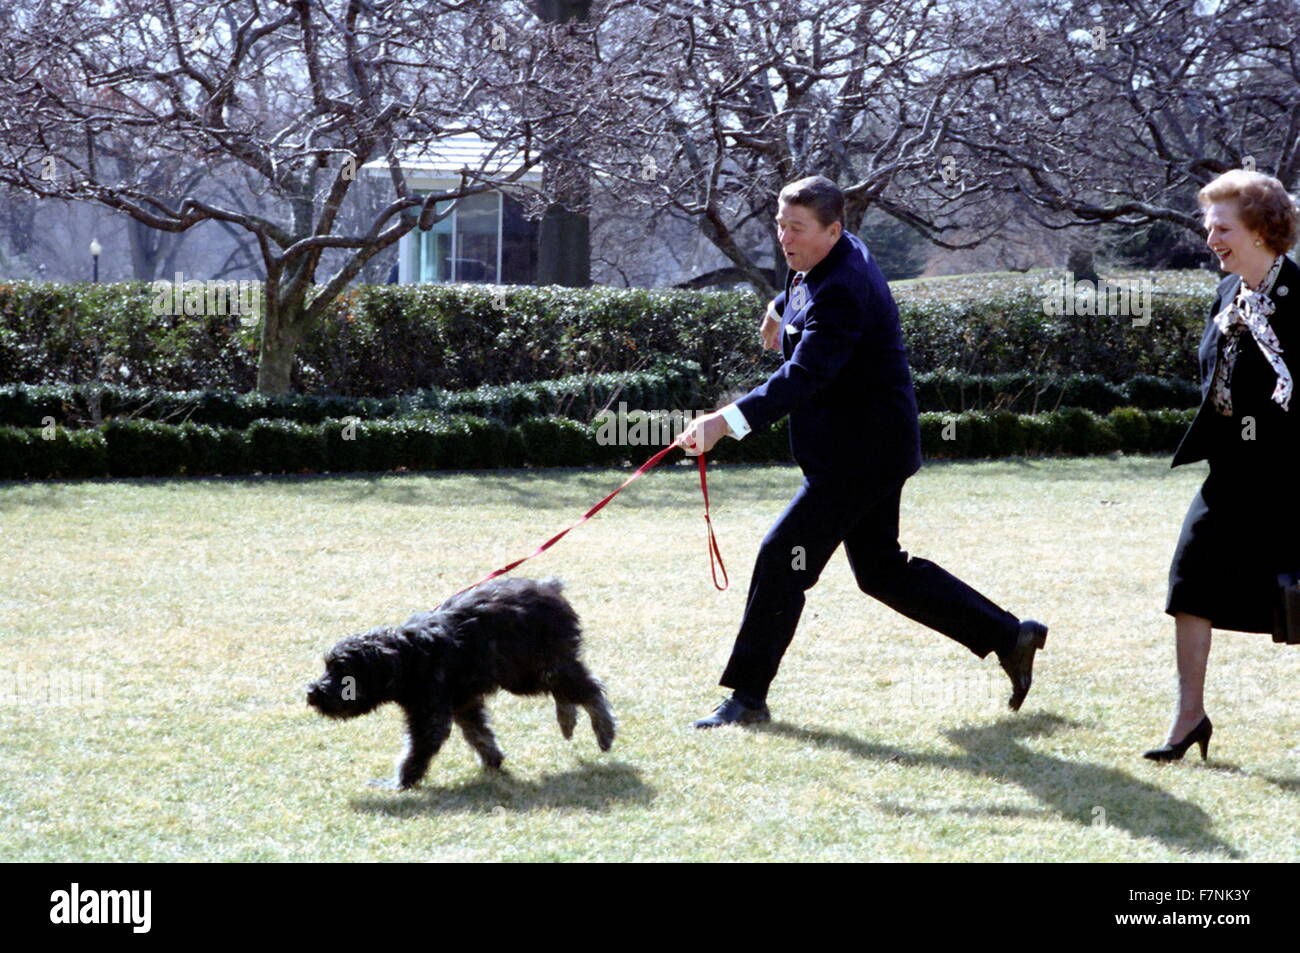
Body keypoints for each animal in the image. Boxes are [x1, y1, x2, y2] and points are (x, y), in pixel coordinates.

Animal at [304, 572, 613, 790]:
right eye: (327, 667)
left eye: (342, 670)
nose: (312, 693)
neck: (408, 656)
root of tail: (550, 587)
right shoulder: (463, 704)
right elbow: (480, 734)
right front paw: (494, 762)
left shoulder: (430, 715)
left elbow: (417, 750)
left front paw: (400, 782)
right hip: (530, 673)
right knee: (568, 690)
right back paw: (567, 720)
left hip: (535, 668)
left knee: (590, 689)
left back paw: (603, 730)